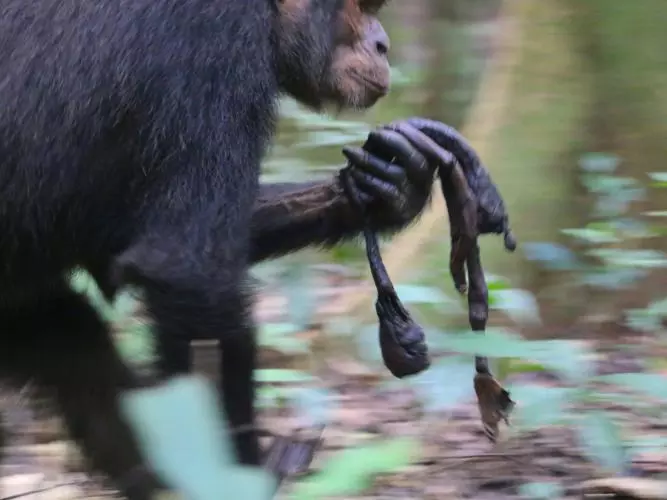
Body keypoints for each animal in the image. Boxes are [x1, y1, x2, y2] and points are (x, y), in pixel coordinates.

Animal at [0, 0, 454, 497]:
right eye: (361, 6)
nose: (382, 43)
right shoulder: (213, 51)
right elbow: (190, 269)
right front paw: (230, 478)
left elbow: (119, 237)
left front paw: (390, 188)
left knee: (74, 341)